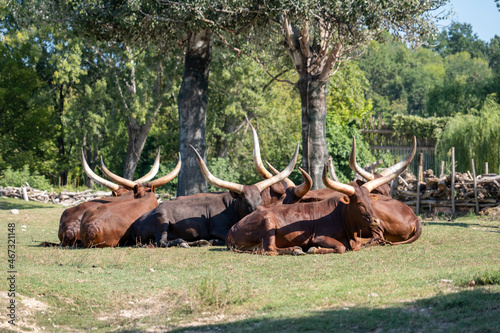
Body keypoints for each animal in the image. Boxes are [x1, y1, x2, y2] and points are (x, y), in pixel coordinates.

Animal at [129, 143, 298, 246]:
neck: (231, 208)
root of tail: (135, 224)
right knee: (162, 242)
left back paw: (201, 242)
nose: (257, 213)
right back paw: (189, 242)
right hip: (162, 221)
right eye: (245, 201)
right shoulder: (219, 229)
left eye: (260, 200)